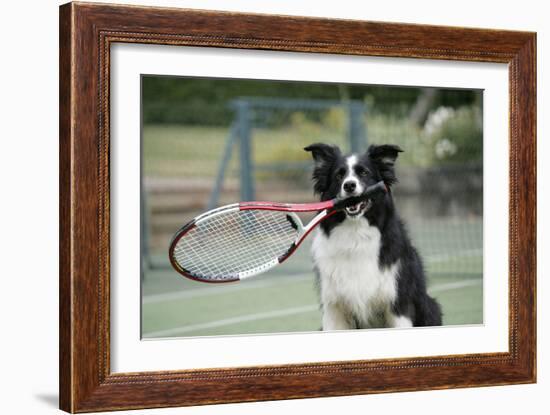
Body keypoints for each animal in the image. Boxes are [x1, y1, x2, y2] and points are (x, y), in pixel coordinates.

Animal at [306, 144, 444, 332]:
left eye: (364, 173)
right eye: (339, 175)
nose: (349, 185)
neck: (355, 234)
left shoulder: (398, 304)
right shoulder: (334, 309)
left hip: (430, 307)